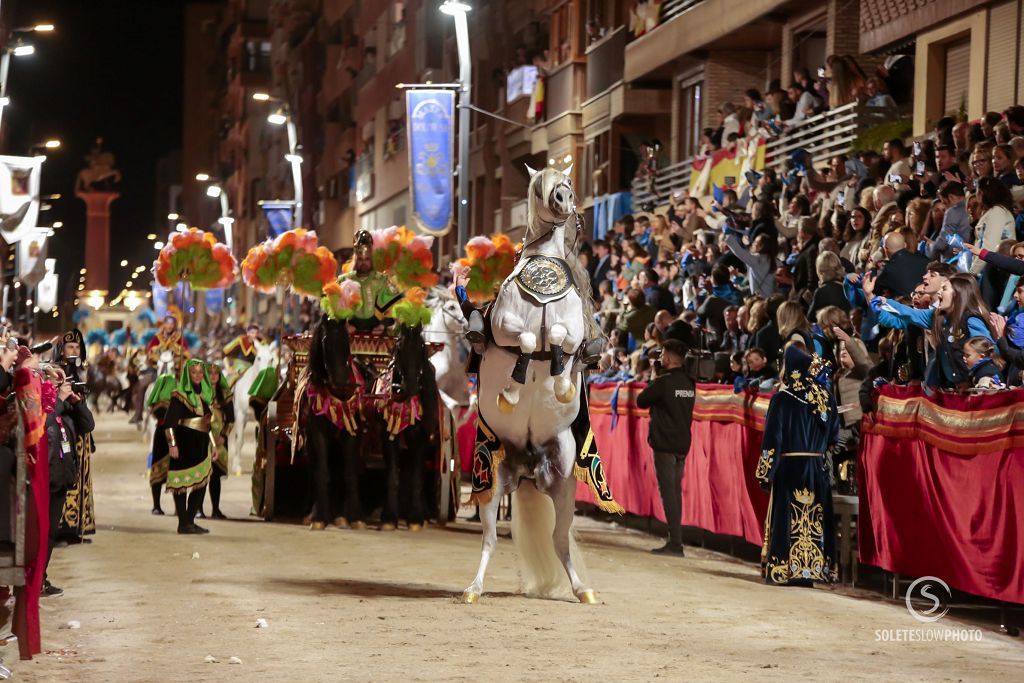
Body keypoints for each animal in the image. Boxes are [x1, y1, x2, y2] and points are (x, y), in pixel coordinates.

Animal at [303, 315, 368, 528]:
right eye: (325, 342)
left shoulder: (351, 433)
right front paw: (318, 517)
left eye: (346, 340)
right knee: (315, 468)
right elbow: (322, 471)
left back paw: (339, 514)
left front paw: (355, 517)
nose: (341, 382)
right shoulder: (317, 433)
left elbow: (349, 472)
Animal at [378, 323, 438, 532]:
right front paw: (389, 517)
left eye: (421, 347)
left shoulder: (421, 438)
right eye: (399, 348)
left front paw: (416, 518)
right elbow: (393, 476)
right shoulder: (389, 436)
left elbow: (417, 478)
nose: (410, 387)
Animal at [462, 165, 598, 602]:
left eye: (568, 184)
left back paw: (582, 590)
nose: (563, 200)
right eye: (541, 188)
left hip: (564, 486)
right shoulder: (505, 325)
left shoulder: (571, 330)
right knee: (490, 539)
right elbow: (523, 339)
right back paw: (473, 588)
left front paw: (561, 385)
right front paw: (511, 390)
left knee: (559, 541)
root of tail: (526, 467)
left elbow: (557, 336)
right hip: (490, 486)